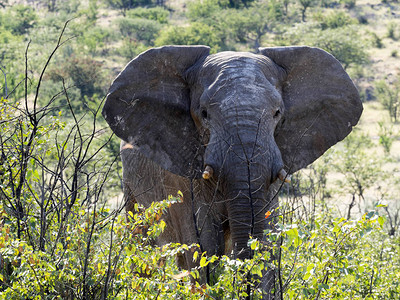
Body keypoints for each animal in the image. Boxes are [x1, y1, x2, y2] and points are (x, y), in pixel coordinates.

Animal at [101, 44, 362, 298]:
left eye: (277, 113)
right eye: (204, 114)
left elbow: (266, 240)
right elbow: (203, 246)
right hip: (131, 186)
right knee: (142, 244)